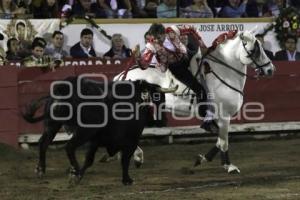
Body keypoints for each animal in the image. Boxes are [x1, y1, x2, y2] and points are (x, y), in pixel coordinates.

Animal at [23, 76, 177, 184]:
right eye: (160, 100)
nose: (163, 121)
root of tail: (63, 89)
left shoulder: (98, 140)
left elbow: (90, 159)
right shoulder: (130, 138)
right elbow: (125, 158)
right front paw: (127, 179)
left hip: (53, 125)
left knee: (43, 143)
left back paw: (41, 170)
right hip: (84, 131)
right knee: (69, 146)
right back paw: (74, 170)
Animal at [113, 30, 276, 173]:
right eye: (255, 49)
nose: (270, 69)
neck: (224, 72)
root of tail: (121, 76)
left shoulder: (220, 119)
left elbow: (219, 141)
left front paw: (202, 159)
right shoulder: (224, 117)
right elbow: (224, 142)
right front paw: (229, 167)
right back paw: (136, 157)